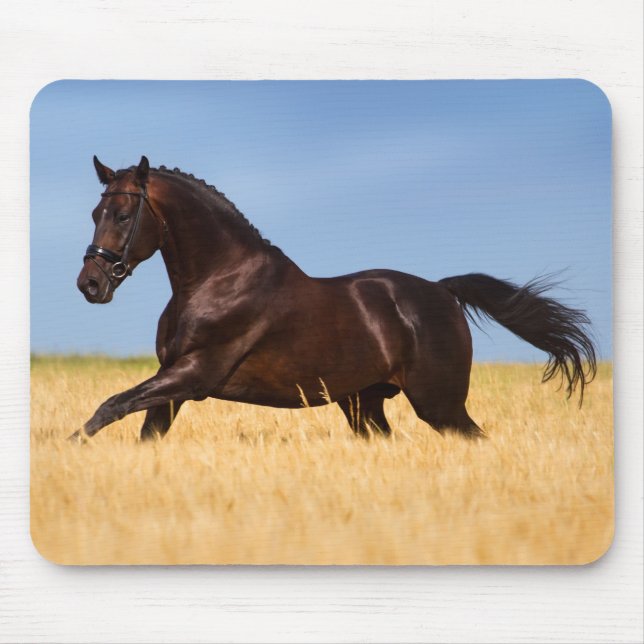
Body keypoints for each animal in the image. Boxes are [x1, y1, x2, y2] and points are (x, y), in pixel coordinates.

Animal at [71, 155, 596, 442]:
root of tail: (443, 291)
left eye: (122, 214)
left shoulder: (194, 374)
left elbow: (109, 407)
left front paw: (70, 446)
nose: (90, 284)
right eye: (96, 212)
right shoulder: (173, 382)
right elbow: (141, 430)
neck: (217, 280)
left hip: (439, 402)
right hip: (364, 403)